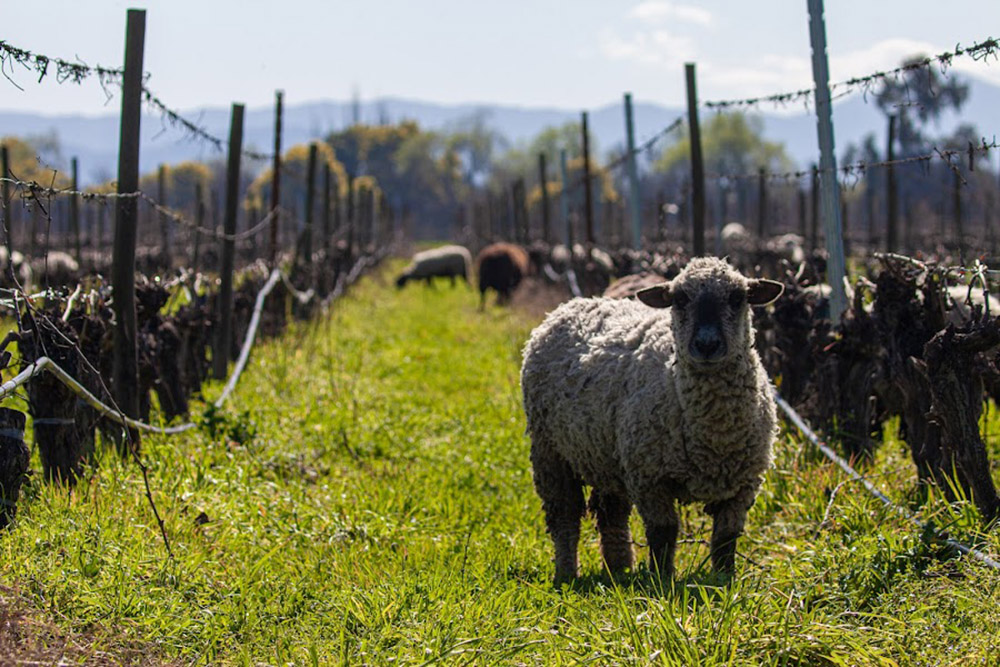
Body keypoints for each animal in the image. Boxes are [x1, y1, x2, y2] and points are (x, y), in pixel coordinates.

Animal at [520, 258, 784, 580]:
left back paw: (619, 569)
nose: (707, 345)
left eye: (737, 298)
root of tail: (570, 305)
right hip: (551, 452)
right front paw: (661, 579)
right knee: (565, 516)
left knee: (611, 513)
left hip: (606, 456)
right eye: (680, 299)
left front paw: (724, 580)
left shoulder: (743, 486)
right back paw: (568, 573)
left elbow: (726, 539)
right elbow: (663, 532)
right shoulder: (649, 477)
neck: (714, 435)